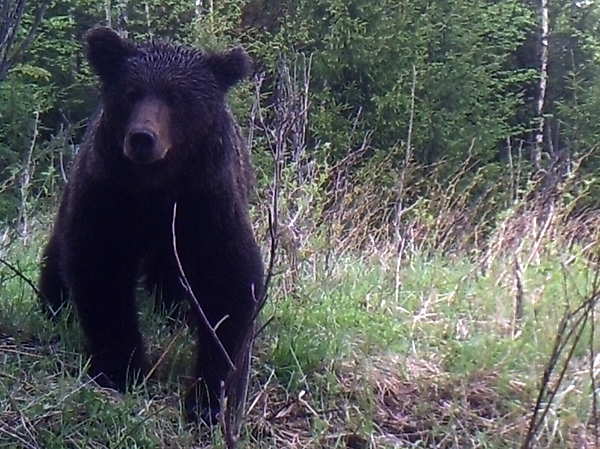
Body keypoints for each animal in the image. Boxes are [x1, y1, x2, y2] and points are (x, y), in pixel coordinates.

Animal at [37, 28, 262, 424]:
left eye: (177, 97)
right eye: (131, 92)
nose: (142, 137)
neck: (156, 188)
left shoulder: (206, 204)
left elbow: (230, 284)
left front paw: (210, 400)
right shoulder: (110, 196)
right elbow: (101, 272)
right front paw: (123, 369)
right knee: (58, 254)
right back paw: (53, 304)